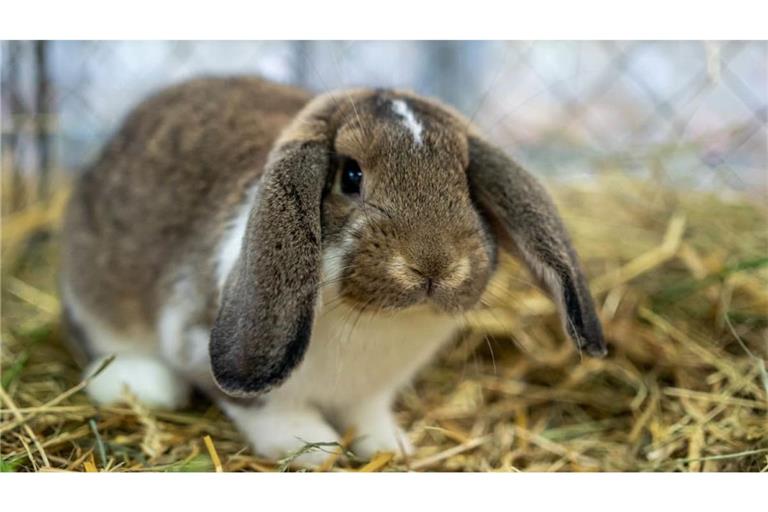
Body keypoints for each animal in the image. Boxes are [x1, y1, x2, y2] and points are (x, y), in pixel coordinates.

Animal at [60, 76, 606, 466]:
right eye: (350, 175)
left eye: (466, 182)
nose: (435, 265)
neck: (375, 321)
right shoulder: (198, 340)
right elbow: (269, 410)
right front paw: (316, 449)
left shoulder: (372, 392)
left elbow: (367, 416)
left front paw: (389, 446)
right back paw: (144, 386)